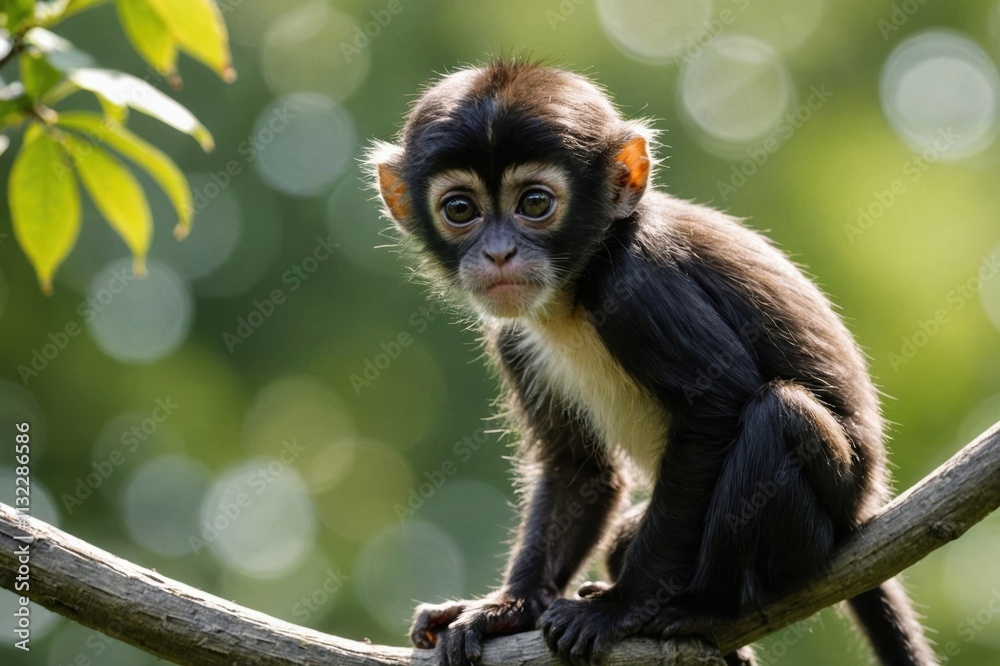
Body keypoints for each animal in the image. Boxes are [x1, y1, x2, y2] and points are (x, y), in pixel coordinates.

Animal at [369, 60, 937, 666]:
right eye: (460, 210)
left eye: (535, 203)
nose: (499, 253)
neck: (578, 287)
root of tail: (861, 510)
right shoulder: (514, 334)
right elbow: (579, 469)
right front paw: (507, 609)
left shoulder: (637, 283)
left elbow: (716, 409)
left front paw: (622, 606)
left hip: (820, 522)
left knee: (778, 413)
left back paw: (703, 608)